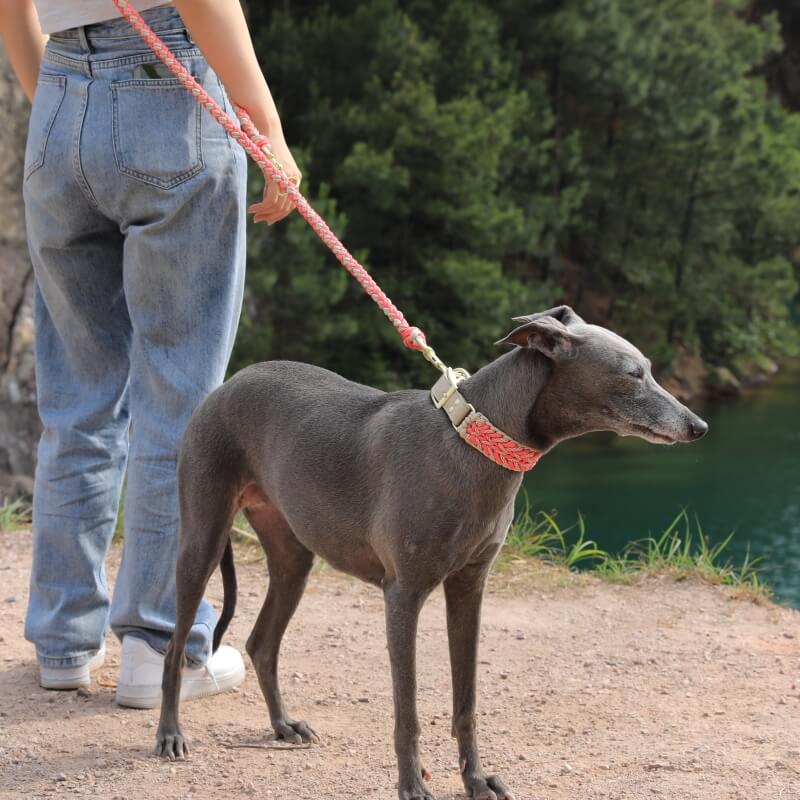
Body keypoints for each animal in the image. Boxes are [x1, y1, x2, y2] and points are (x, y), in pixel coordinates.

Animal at [155, 306, 708, 800]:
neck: (471, 442)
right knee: (176, 646)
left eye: (650, 368)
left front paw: (476, 780)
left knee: (262, 643)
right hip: (202, 538)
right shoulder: (403, 593)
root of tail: (230, 382)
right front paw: (412, 784)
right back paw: (169, 734)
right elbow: (408, 710)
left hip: (294, 556)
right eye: (633, 374)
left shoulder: (469, 588)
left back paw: (283, 724)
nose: (698, 426)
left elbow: (466, 702)